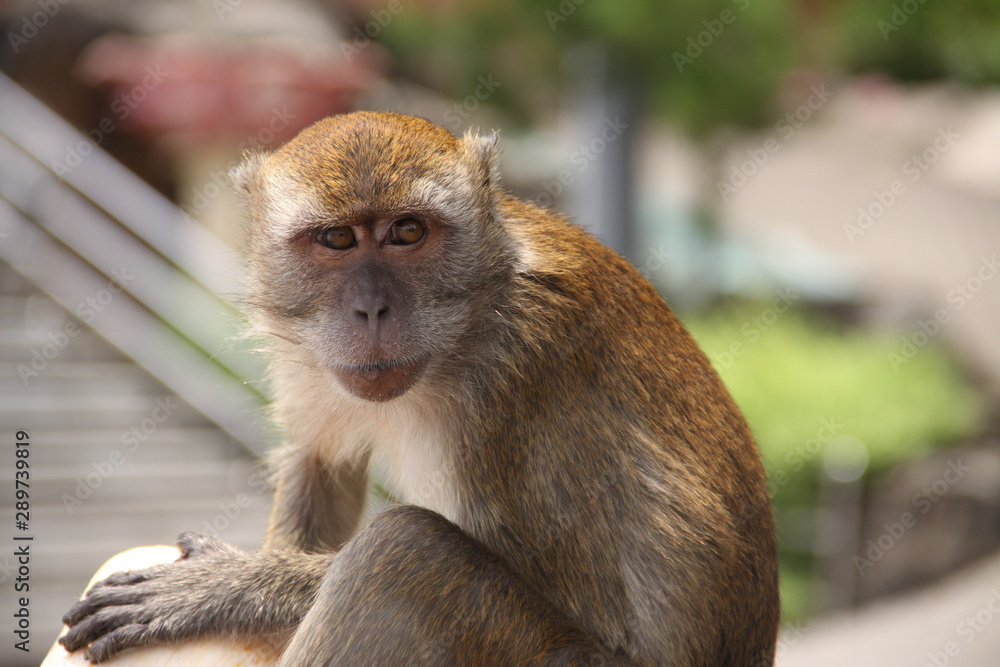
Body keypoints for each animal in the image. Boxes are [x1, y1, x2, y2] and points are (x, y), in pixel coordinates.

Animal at [60, 112, 780, 664]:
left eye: (407, 231)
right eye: (337, 238)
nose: (372, 309)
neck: (474, 313)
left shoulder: (521, 368)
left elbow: (580, 596)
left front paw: (226, 584)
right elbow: (321, 461)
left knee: (404, 553)